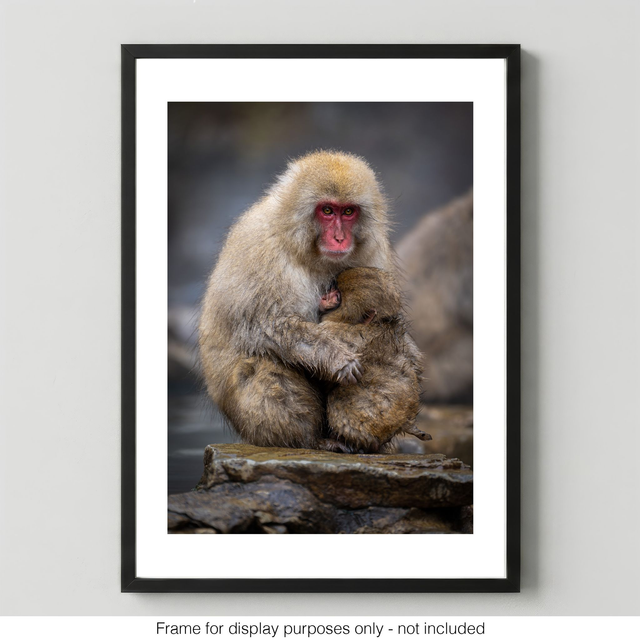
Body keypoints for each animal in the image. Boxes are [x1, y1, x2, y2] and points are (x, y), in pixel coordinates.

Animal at [318, 267, 431, 453]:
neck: (376, 323)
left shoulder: (334, 330)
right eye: (333, 289)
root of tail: (405, 421)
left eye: (337, 296)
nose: (323, 298)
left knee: (339, 398)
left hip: (378, 418)